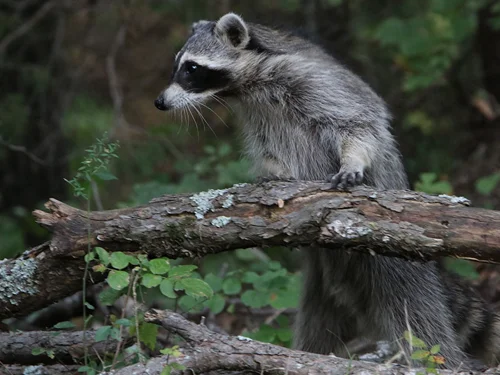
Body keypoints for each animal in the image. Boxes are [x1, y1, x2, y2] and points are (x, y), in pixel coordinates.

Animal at [153, 11, 500, 370]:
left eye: (192, 68)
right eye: (178, 65)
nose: (160, 102)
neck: (249, 84)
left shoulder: (313, 82)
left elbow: (358, 124)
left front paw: (353, 158)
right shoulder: (258, 115)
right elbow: (268, 150)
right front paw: (274, 171)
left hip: (395, 263)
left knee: (420, 320)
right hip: (324, 280)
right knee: (317, 324)